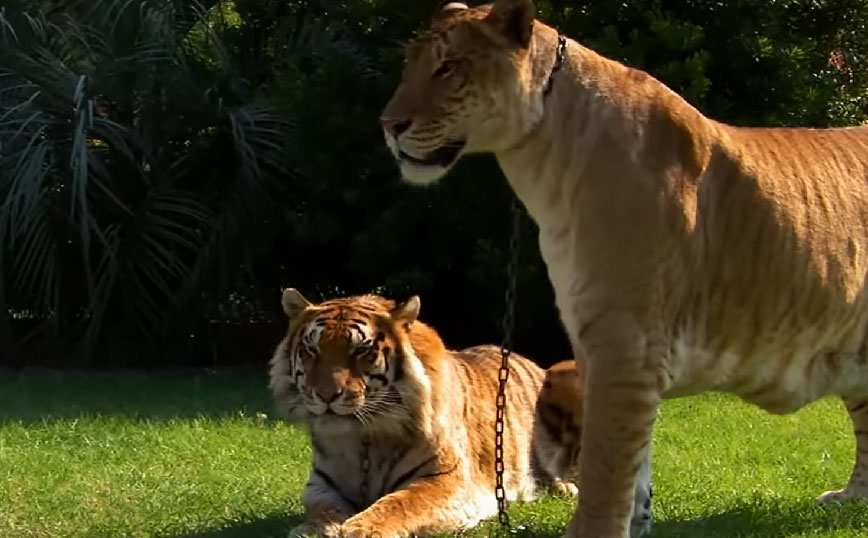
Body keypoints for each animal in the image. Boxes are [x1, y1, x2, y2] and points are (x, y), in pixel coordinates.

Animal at [272, 288, 604, 536]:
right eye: (312, 350)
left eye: (361, 351)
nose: (326, 395)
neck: (363, 437)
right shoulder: (320, 486)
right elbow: (323, 509)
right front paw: (311, 528)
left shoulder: (446, 480)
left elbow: (399, 503)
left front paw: (361, 529)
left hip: (570, 372)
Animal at [384, 1, 868, 536]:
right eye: (410, 65)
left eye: (448, 67)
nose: (388, 125)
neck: (545, 165)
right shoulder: (600, 345)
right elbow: (635, 470)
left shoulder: (625, 347)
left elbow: (606, 467)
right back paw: (850, 501)